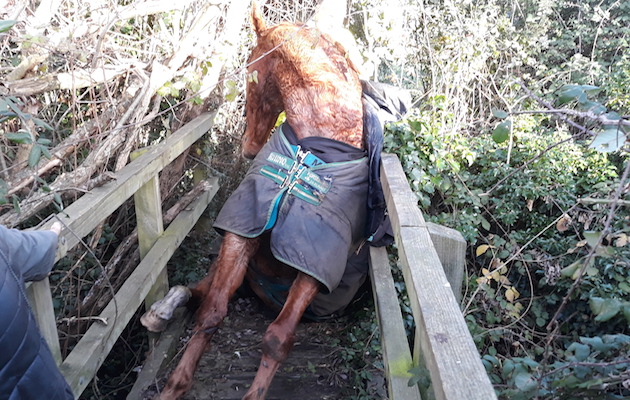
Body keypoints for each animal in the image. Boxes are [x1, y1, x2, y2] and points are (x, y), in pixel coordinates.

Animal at [141, 3, 372, 400]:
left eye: (249, 74)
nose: (248, 147)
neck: (312, 151)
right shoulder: (241, 233)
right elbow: (212, 313)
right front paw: (174, 386)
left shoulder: (311, 265)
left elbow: (278, 339)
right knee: (198, 291)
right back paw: (163, 309)